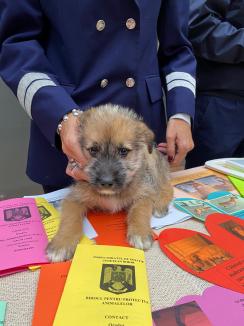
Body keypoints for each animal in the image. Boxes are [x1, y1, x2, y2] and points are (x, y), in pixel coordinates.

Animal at [46, 104, 173, 262]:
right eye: (93, 150)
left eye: (123, 151)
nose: (106, 182)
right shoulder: (74, 198)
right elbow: (70, 219)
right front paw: (61, 243)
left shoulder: (144, 194)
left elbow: (140, 211)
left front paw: (140, 233)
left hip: (153, 165)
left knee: (166, 187)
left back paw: (160, 205)